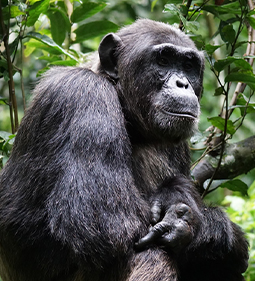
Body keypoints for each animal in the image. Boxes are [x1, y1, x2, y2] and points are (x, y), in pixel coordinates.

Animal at [0, 18, 249, 278]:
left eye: (188, 65)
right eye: (163, 60)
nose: (182, 83)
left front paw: (179, 201)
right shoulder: (85, 97)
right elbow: (109, 226)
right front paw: (184, 222)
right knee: (151, 255)